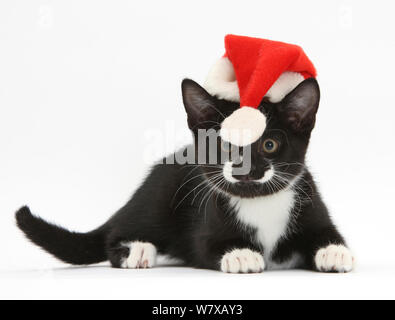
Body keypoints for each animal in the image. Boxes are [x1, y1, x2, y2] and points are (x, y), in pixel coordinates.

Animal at [16, 77, 356, 272]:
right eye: (224, 144)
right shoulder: (204, 229)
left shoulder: (312, 205)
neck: (260, 203)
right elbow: (206, 247)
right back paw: (138, 249)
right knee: (114, 235)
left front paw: (335, 251)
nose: (244, 167)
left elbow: (327, 233)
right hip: (158, 199)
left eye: (269, 144)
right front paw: (241, 254)